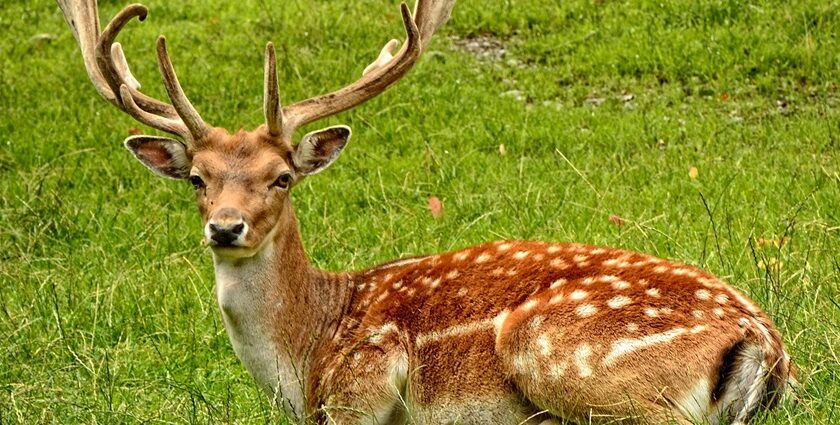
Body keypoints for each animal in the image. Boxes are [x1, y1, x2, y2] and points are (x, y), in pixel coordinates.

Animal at [57, 0, 796, 422]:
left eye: (282, 177)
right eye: (198, 179)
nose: (225, 226)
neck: (305, 353)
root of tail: (766, 343)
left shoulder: (361, 383)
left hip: (559, 353)